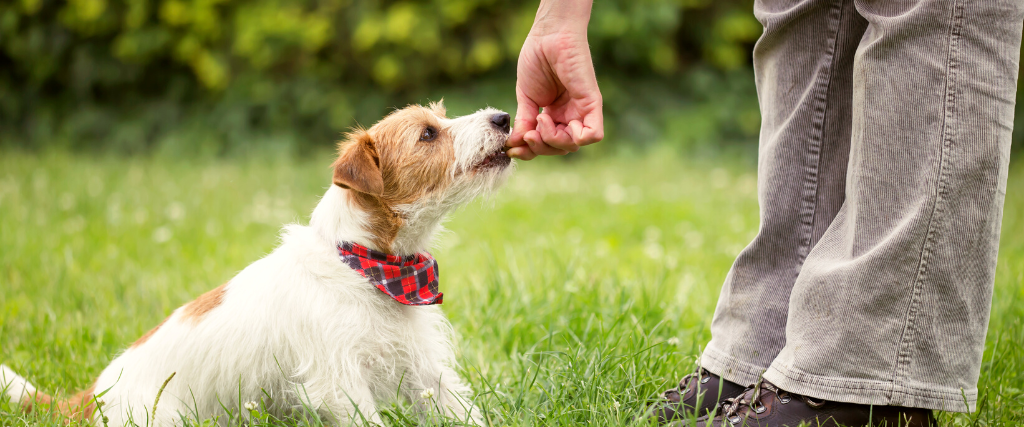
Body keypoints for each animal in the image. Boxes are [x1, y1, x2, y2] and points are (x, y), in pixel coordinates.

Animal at [0, 101, 512, 423]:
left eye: (440, 119)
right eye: (428, 134)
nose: (504, 117)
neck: (368, 266)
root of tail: (91, 397)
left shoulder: (425, 369)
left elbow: (462, 411)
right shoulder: (339, 383)